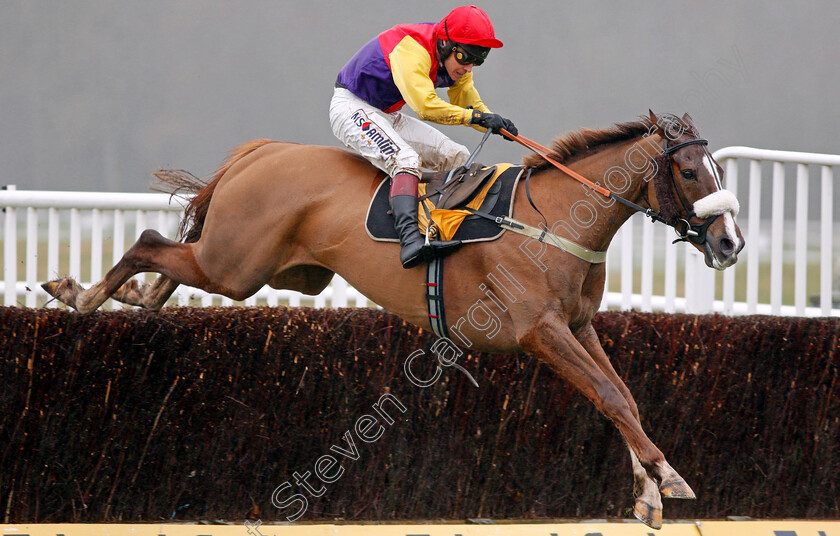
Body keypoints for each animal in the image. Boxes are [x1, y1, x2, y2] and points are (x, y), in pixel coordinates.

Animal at [44, 113, 740, 528]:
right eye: (687, 170)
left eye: (717, 169)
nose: (730, 242)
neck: (555, 219)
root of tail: (261, 152)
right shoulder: (538, 331)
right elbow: (607, 396)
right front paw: (669, 479)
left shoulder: (579, 326)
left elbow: (621, 397)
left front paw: (648, 490)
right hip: (237, 265)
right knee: (150, 239)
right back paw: (79, 294)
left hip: (273, 270)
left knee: (173, 259)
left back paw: (129, 296)